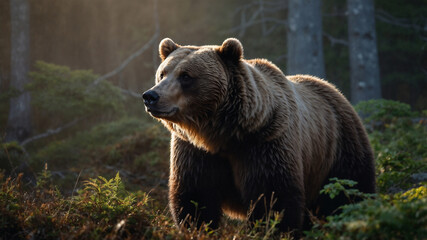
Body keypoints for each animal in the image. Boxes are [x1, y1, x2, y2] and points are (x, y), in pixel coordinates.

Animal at [142, 38, 376, 233]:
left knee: (349, 194)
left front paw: (270, 229)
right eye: (163, 73)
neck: (221, 134)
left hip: (339, 149)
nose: (151, 96)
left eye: (186, 76)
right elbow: (196, 199)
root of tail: (335, 90)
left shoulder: (266, 143)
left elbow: (273, 198)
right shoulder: (195, 151)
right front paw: (199, 229)